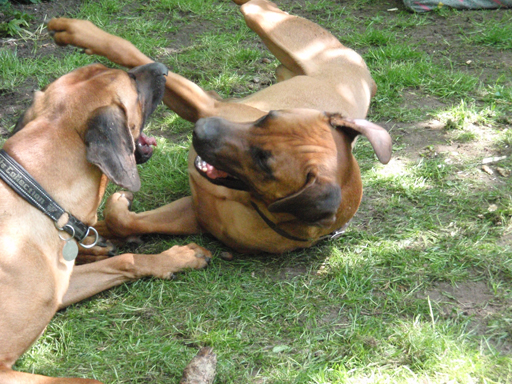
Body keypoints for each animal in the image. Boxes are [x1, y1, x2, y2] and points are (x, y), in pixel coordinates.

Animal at [0, 61, 210, 382]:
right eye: (131, 81)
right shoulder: (5, 369)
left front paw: (175, 258)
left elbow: (125, 260)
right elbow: (85, 379)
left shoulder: (60, 288)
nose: (162, 67)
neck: (38, 195)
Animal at [48, 0, 392, 255]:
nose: (200, 130)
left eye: (263, 163)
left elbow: (123, 221)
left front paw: (115, 216)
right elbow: (126, 49)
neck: (242, 197)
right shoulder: (207, 105)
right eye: (268, 117)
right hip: (267, 25)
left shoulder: (195, 212)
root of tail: (368, 78)